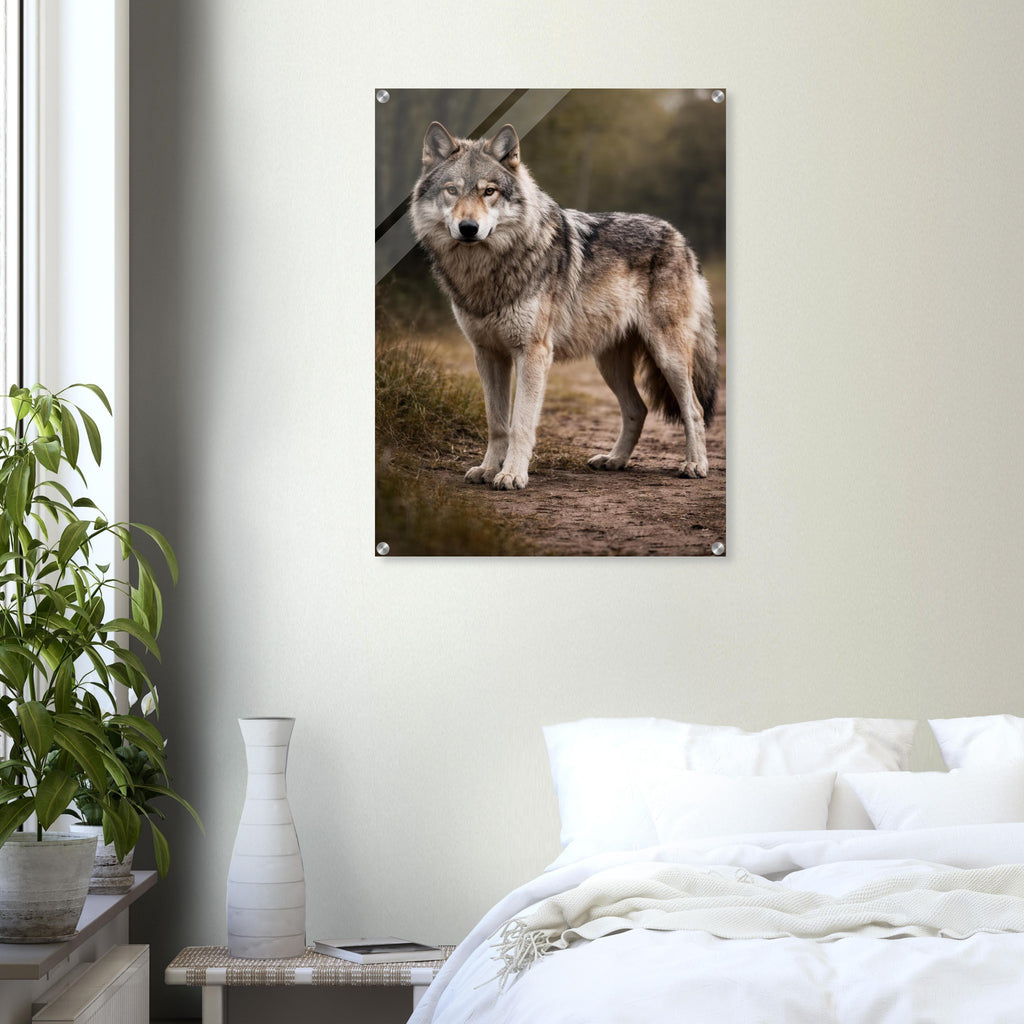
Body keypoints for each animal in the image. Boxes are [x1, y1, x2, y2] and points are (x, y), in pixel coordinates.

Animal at [410, 121, 718, 491]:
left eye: (489, 192)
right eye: (452, 190)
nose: (468, 228)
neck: (486, 270)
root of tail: (680, 238)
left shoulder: (533, 353)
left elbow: (520, 423)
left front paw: (512, 474)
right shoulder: (487, 353)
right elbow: (497, 423)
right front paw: (487, 469)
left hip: (667, 356)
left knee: (694, 409)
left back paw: (695, 464)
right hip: (609, 364)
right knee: (638, 409)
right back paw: (614, 460)